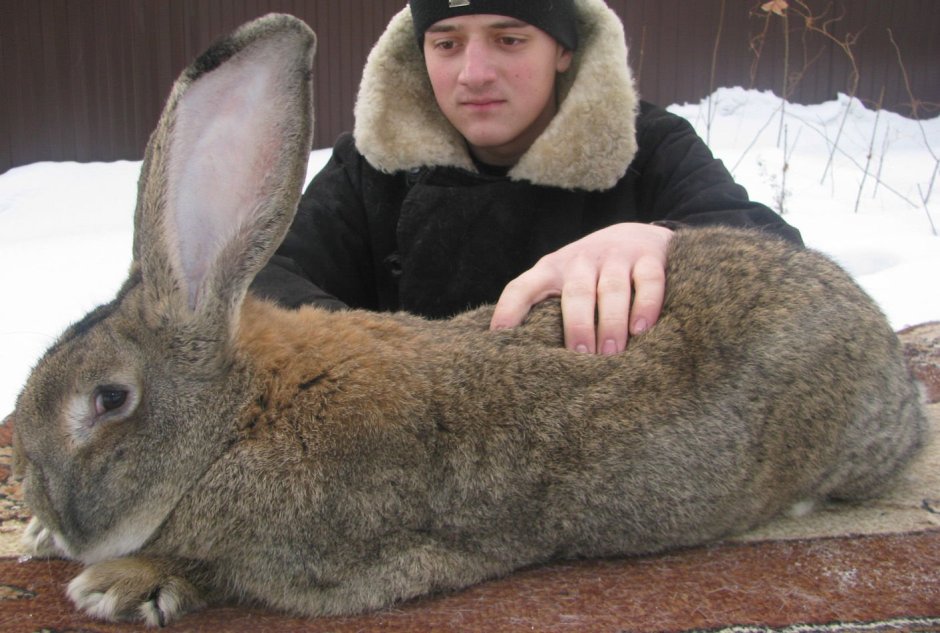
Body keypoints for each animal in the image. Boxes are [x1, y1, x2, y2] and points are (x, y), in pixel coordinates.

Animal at [11, 13, 927, 627]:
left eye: (108, 400)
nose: (40, 492)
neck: (236, 421)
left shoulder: (336, 561)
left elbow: (213, 567)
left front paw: (119, 580)